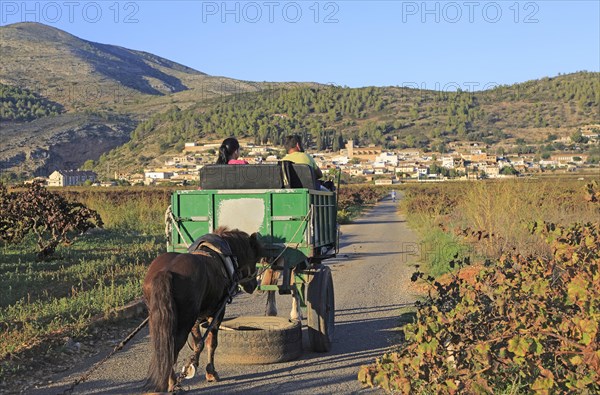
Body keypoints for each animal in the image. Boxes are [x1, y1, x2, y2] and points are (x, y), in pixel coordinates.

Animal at [143, 227, 262, 394]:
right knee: (173, 348)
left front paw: (193, 363)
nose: (253, 285)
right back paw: (173, 383)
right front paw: (211, 372)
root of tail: (165, 272)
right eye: (254, 258)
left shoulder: (197, 318)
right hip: (184, 321)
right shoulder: (217, 312)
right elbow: (211, 342)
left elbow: (198, 341)